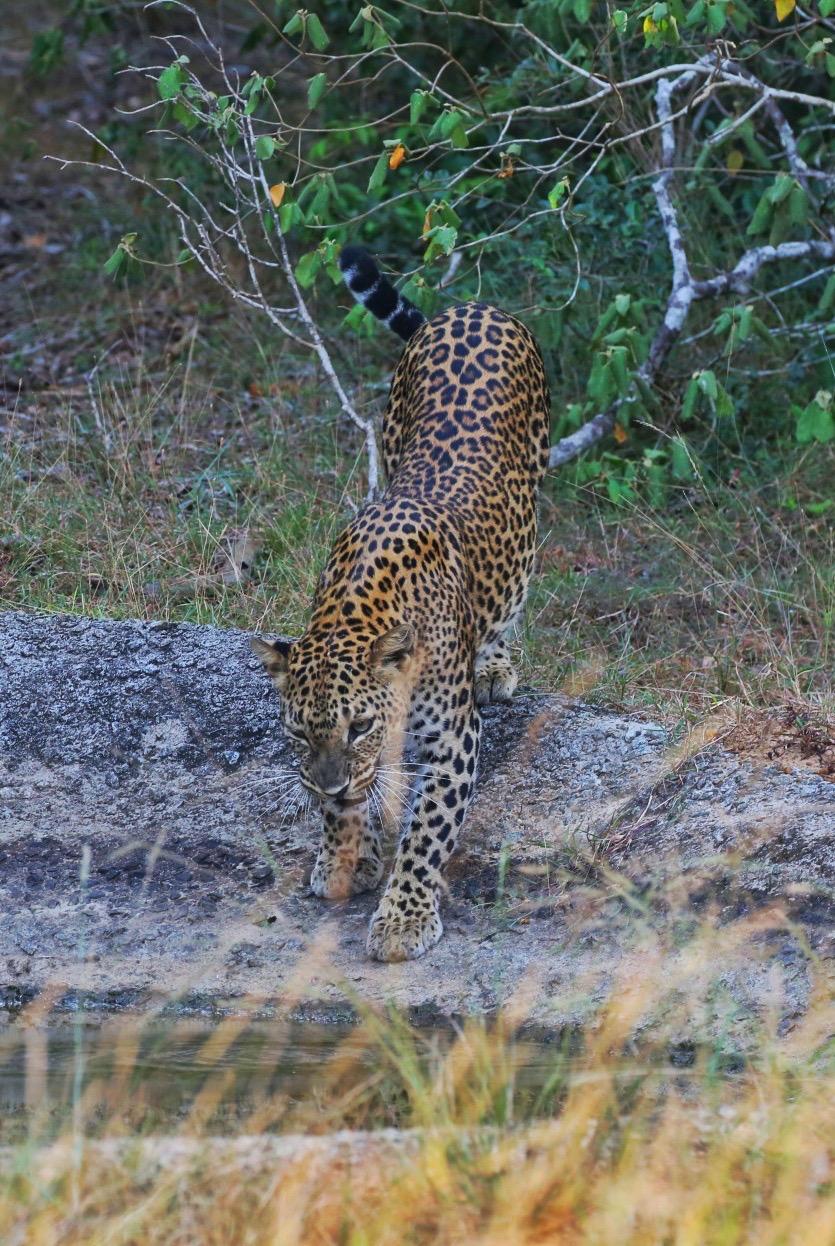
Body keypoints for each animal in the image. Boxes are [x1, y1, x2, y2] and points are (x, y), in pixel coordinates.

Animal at [252, 244, 550, 962]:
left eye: (360, 726)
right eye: (299, 730)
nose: (332, 780)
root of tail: (469, 306)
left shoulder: (452, 741)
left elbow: (426, 833)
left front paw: (403, 919)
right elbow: (343, 810)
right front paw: (345, 857)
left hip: (530, 511)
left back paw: (494, 664)